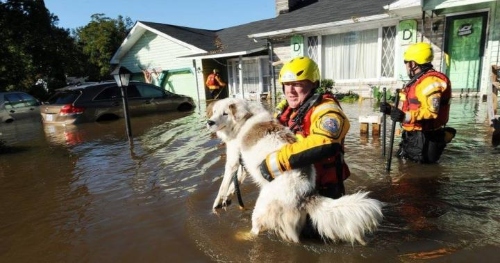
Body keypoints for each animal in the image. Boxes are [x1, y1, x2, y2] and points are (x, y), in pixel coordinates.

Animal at [207, 99, 382, 245]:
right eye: (214, 111)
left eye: (225, 113)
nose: (209, 122)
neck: (246, 117)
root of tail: (306, 193)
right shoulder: (241, 162)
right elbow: (236, 180)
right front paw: (228, 197)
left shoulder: (233, 159)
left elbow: (223, 184)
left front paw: (216, 204)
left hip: (261, 208)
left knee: (256, 231)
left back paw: (241, 236)